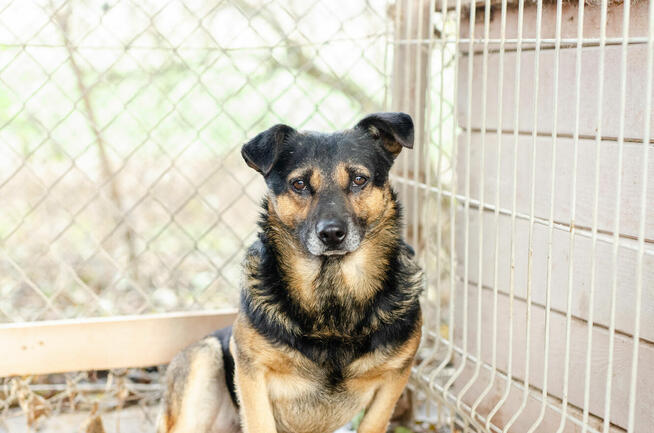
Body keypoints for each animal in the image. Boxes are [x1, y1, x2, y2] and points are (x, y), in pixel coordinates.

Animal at [159, 112, 426, 432]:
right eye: (299, 184)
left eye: (359, 180)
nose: (332, 234)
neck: (331, 297)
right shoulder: (251, 373)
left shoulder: (395, 376)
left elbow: (373, 423)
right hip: (205, 359)